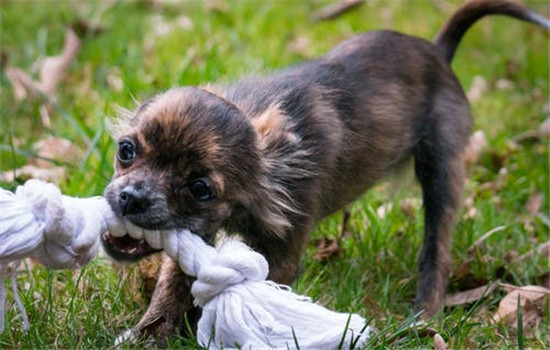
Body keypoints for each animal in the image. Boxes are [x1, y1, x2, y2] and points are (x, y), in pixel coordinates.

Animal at [101, 0, 548, 344]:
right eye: (126, 150)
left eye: (200, 188)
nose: (131, 198)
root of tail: (438, 52)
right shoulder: (195, 238)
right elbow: (171, 287)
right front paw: (148, 336)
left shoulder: (281, 252)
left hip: (442, 169)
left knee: (436, 249)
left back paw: (424, 314)